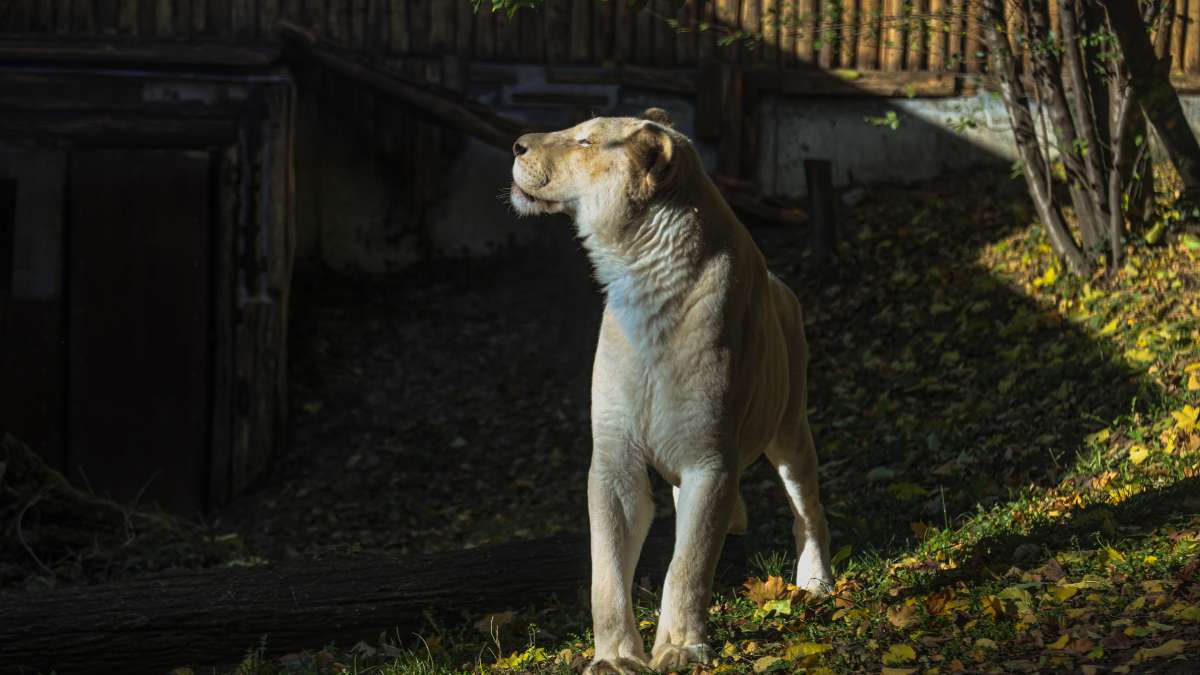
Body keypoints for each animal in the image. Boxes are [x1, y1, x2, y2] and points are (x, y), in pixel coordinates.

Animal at [509, 109, 834, 674]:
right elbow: (607, 572)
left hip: (791, 429)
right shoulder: (614, 459)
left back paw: (817, 582)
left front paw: (681, 647)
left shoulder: (711, 461)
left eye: (586, 141)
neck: (643, 281)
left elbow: (689, 565)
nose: (517, 145)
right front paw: (615, 656)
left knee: (807, 510)